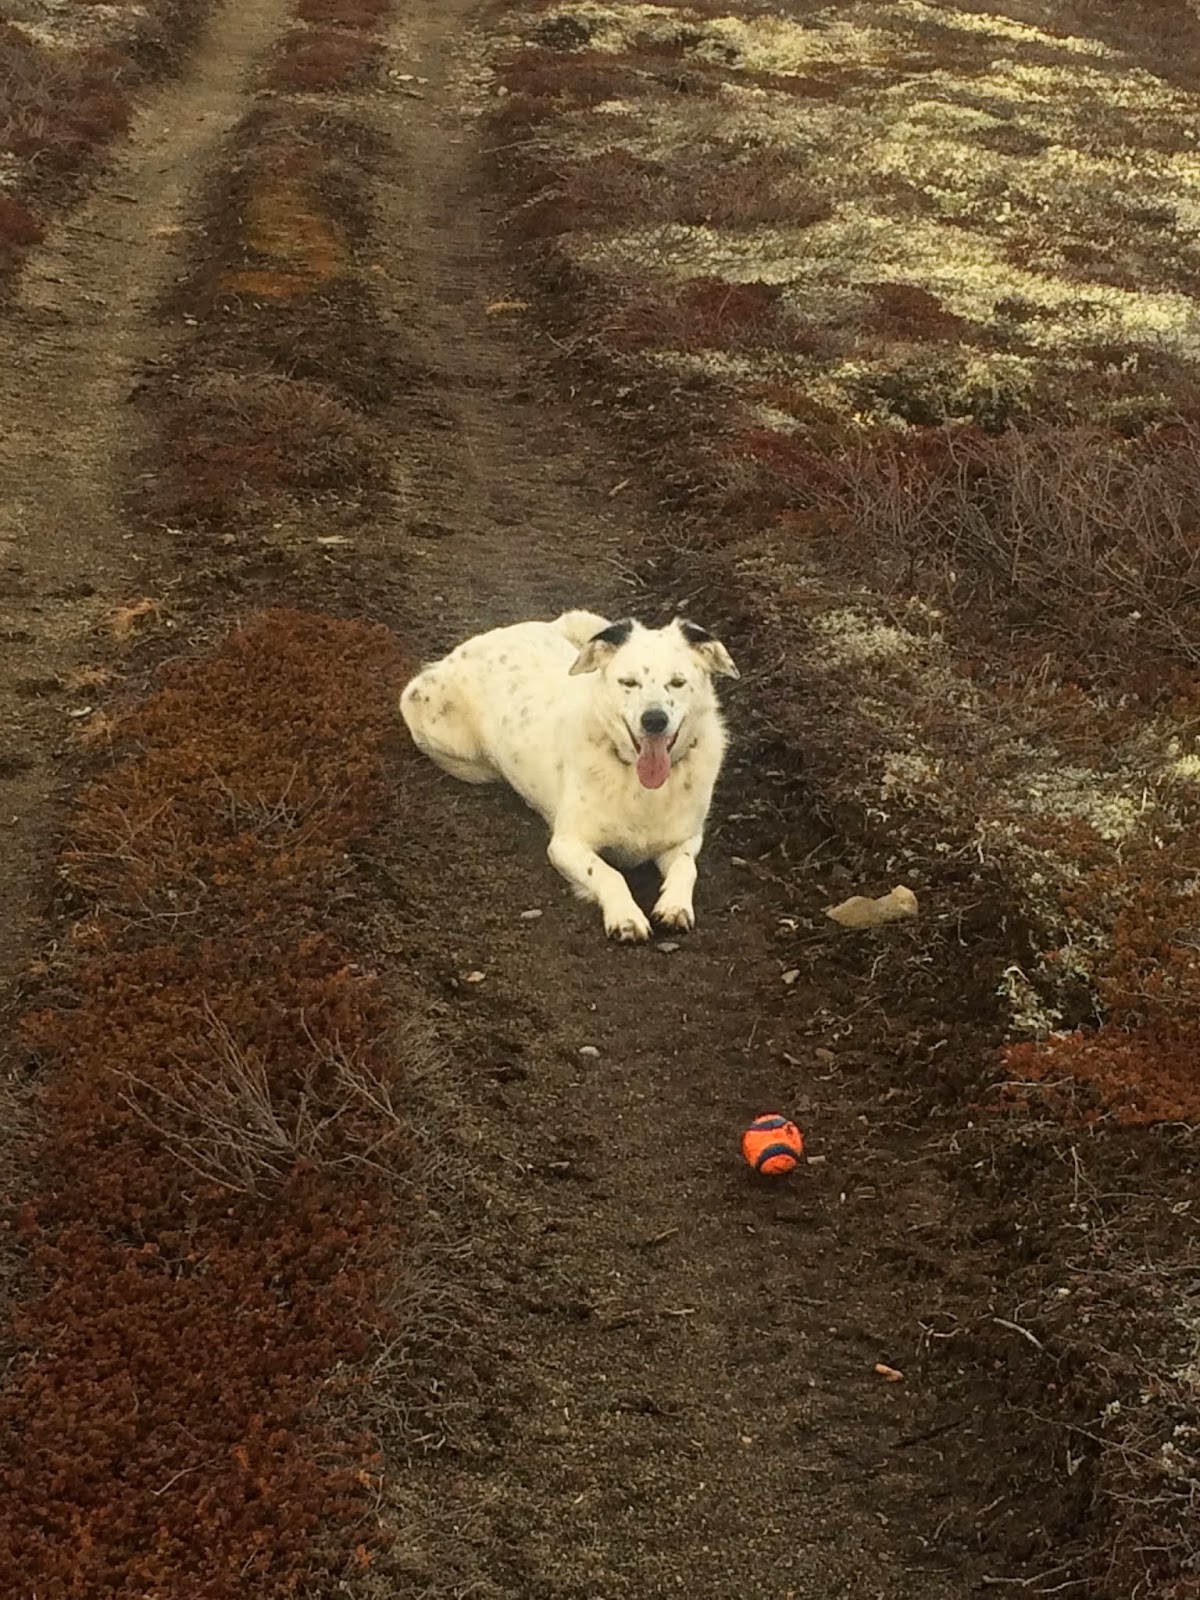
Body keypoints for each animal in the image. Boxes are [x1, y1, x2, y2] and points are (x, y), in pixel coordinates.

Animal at [399, 610, 739, 941]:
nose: (654, 720)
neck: (637, 780)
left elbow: (687, 868)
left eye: (678, 682)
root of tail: (483, 639)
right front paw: (625, 917)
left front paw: (674, 905)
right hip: (443, 733)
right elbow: (608, 873)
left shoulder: (685, 839)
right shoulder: (565, 844)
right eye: (628, 682)